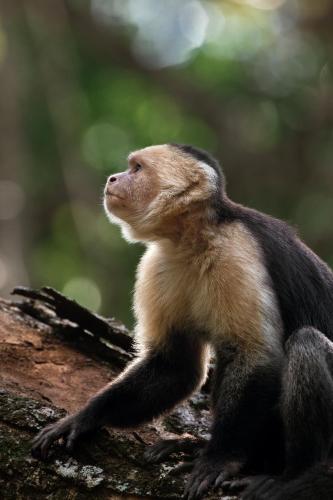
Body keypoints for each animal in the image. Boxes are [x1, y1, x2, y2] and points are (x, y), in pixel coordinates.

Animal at [32, 145, 332, 500]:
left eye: (136, 168)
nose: (112, 178)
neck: (194, 238)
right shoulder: (159, 263)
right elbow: (175, 365)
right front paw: (84, 417)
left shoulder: (238, 253)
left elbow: (255, 357)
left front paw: (219, 459)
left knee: (306, 344)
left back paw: (298, 477)